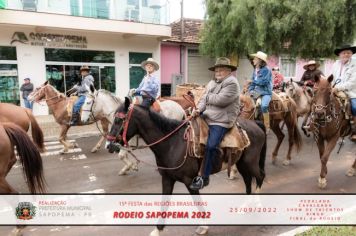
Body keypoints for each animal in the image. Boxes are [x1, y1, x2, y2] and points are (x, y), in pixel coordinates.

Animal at [108, 97, 268, 236]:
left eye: (119, 119)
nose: (109, 145)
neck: (172, 143)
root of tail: (256, 124)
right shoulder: (167, 178)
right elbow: (164, 202)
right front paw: (158, 230)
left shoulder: (189, 181)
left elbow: (197, 202)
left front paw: (203, 226)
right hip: (242, 163)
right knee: (248, 180)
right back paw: (246, 205)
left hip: (250, 163)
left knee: (260, 176)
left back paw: (258, 203)